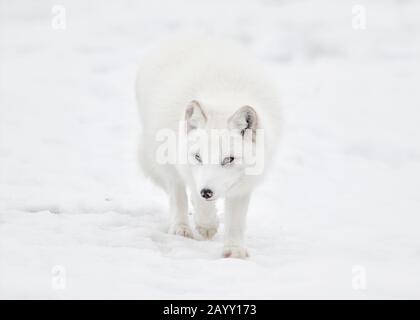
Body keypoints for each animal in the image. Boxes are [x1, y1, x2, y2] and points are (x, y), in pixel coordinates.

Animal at [135, 38, 278, 258]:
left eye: (229, 159)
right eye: (198, 157)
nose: (207, 192)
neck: (223, 96)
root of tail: (187, 35)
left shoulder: (243, 185)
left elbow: (236, 221)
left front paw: (234, 250)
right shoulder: (189, 170)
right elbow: (194, 197)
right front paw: (207, 224)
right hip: (166, 160)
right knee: (177, 195)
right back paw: (182, 227)